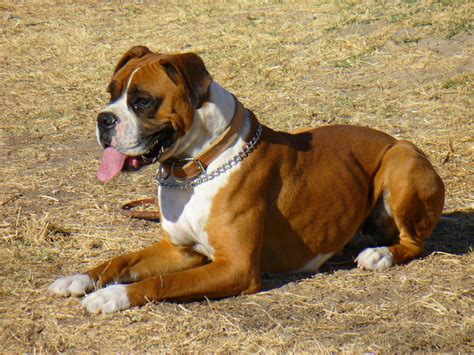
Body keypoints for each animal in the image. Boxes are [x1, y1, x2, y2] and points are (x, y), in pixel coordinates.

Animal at [48, 45, 444, 314]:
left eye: (142, 101)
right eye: (111, 93)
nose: (103, 119)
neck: (196, 169)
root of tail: (393, 139)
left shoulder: (235, 268)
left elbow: (162, 282)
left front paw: (111, 295)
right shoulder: (180, 250)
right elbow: (121, 261)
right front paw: (81, 278)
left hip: (401, 159)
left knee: (414, 243)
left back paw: (379, 255)